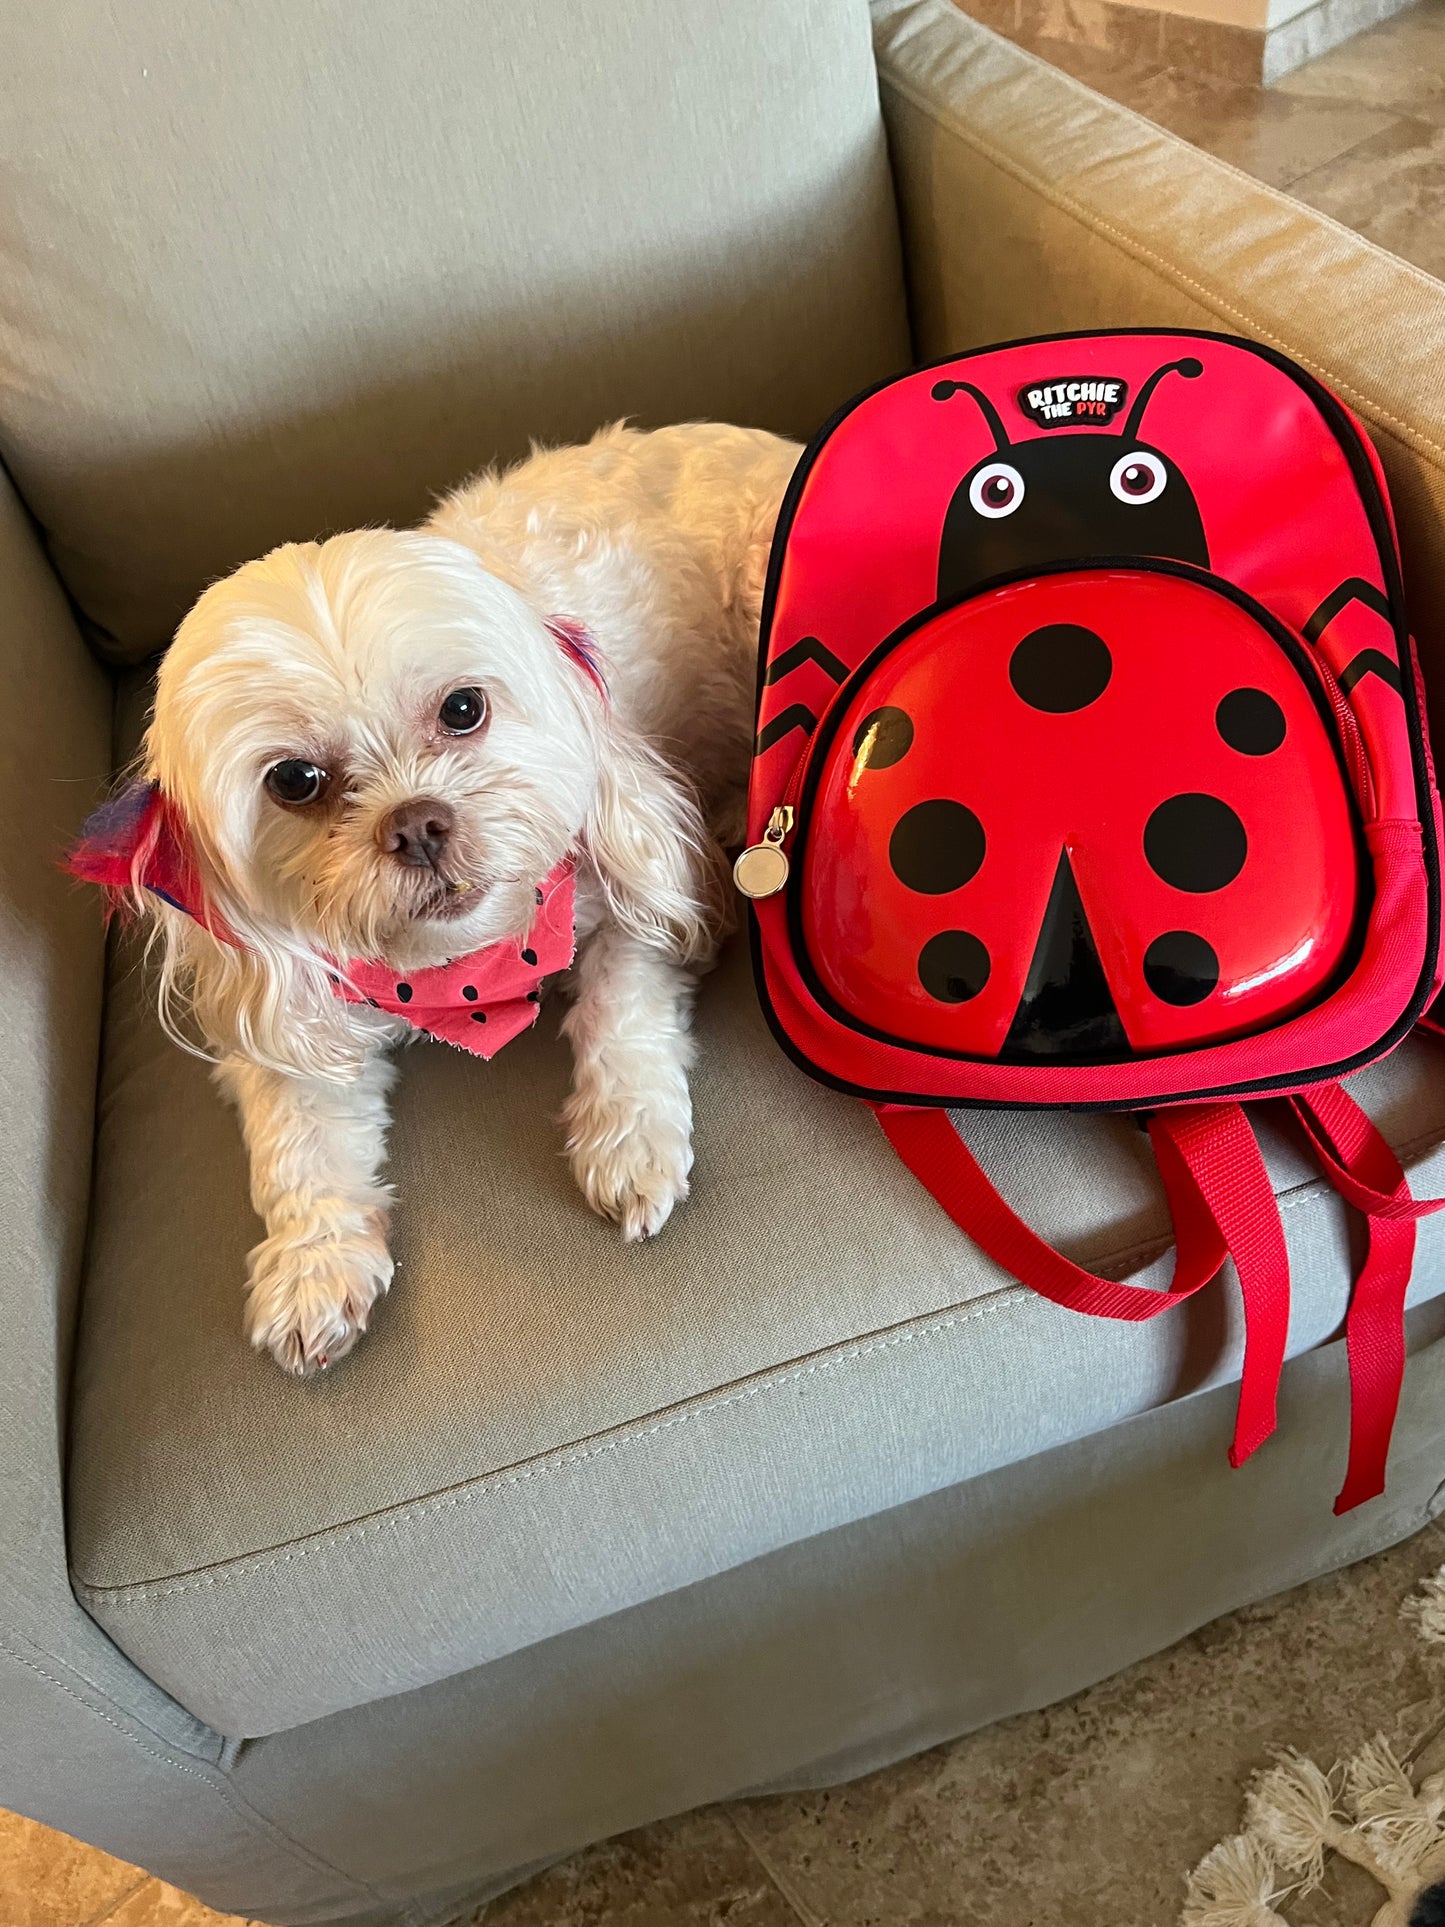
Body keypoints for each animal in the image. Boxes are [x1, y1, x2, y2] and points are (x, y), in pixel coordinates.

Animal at [126, 429, 805, 1379]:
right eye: (293, 780)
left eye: (462, 707)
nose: (416, 824)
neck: (460, 961)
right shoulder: (284, 1011)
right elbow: (298, 1141)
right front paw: (312, 1265)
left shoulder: (638, 876)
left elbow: (620, 1007)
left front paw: (627, 1138)